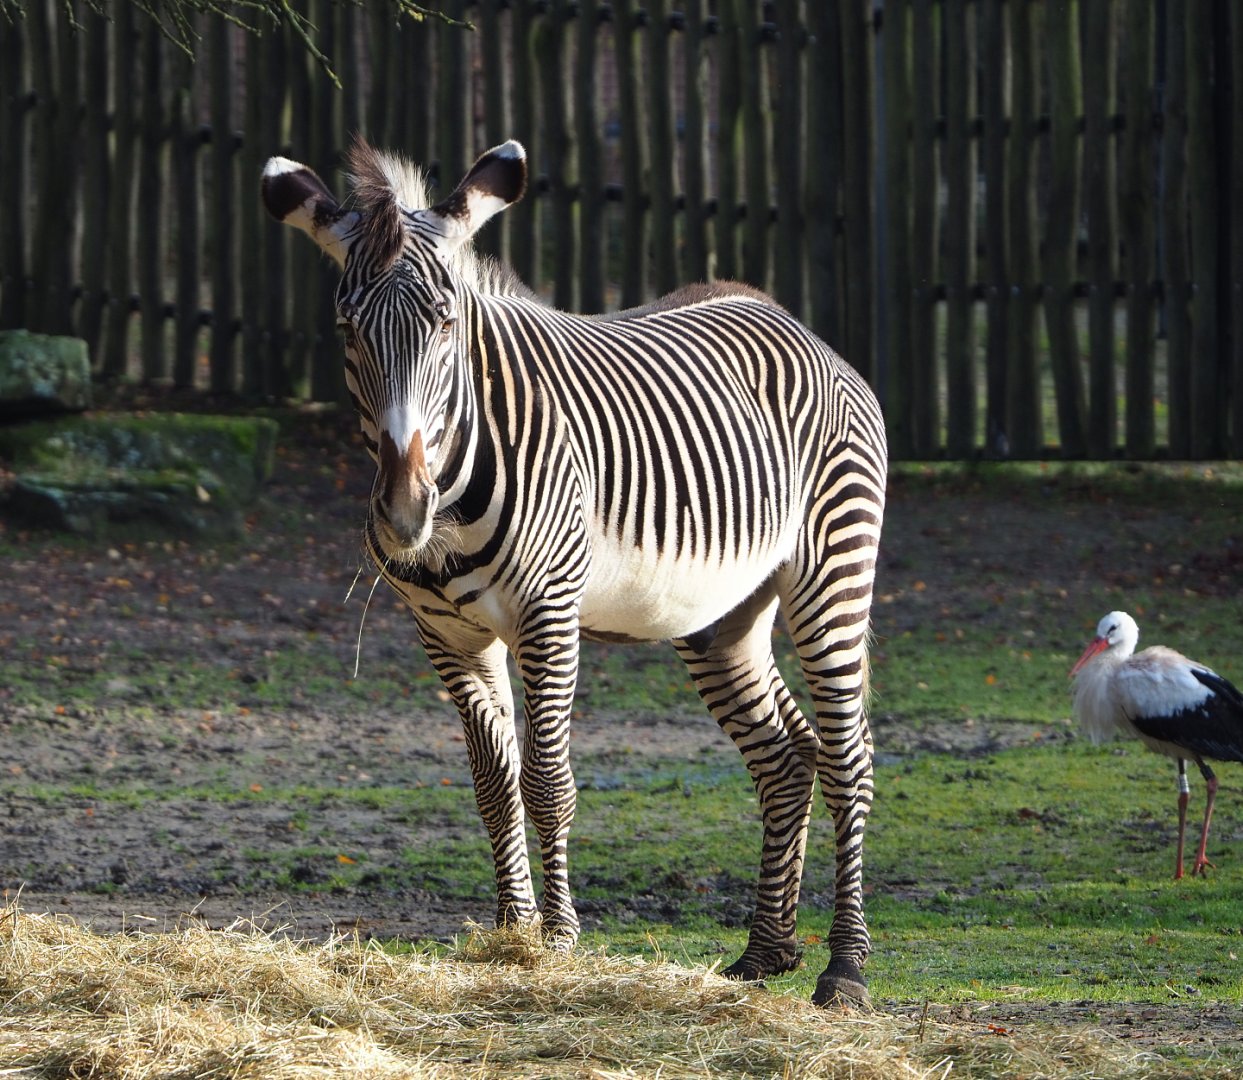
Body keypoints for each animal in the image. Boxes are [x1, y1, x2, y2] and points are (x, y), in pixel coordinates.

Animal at [261, 138, 887, 1007]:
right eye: (346, 328)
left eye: (447, 324)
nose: (403, 513)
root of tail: (789, 320)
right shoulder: (447, 635)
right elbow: (493, 785)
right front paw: (511, 930)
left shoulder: (546, 616)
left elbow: (546, 780)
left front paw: (557, 937)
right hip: (721, 614)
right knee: (785, 756)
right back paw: (766, 952)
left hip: (832, 568)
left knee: (845, 757)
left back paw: (844, 968)